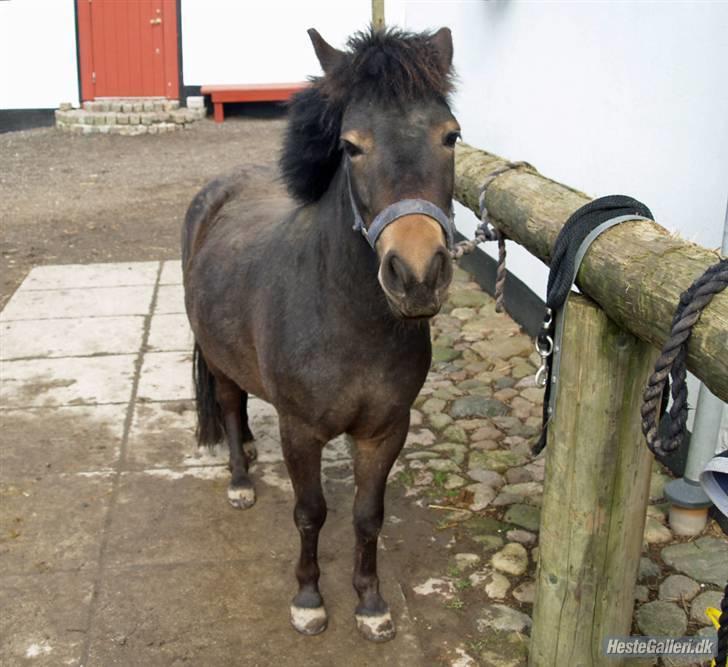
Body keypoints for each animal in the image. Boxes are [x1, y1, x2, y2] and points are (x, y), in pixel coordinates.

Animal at [183, 26, 460, 640]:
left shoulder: (385, 431)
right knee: (230, 405)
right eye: (351, 146)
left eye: (451, 137)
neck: (349, 319)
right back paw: (240, 477)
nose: (417, 275)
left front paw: (371, 603)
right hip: (217, 360)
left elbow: (367, 516)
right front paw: (308, 600)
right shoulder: (302, 431)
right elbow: (310, 513)